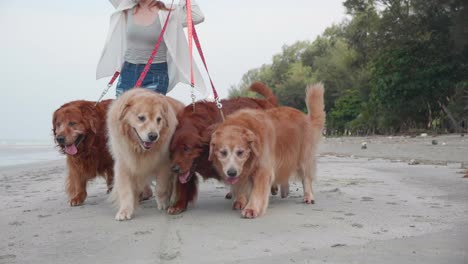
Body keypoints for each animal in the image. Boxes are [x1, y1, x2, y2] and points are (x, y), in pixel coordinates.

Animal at [108, 88, 185, 221]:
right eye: (141, 118)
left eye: (159, 119)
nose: (153, 136)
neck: (140, 149)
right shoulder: (123, 163)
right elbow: (125, 190)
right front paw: (125, 211)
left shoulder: (164, 163)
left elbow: (161, 187)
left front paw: (162, 203)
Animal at [168, 82, 278, 214]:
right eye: (172, 150)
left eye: (187, 149)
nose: (174, 169)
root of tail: (261, 101)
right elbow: (183, 185)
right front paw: (179, 205)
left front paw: (241, 200)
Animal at [209, 84, 326, 219]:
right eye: (223, 153)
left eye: (240, 152)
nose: (231, 173)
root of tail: (306, 117)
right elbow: (242, 185)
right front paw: (240, 200)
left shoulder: (263, 169)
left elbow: (257, 191)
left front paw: (251, 208)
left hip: (303, 158)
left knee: (306, 178)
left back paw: (308, 196)